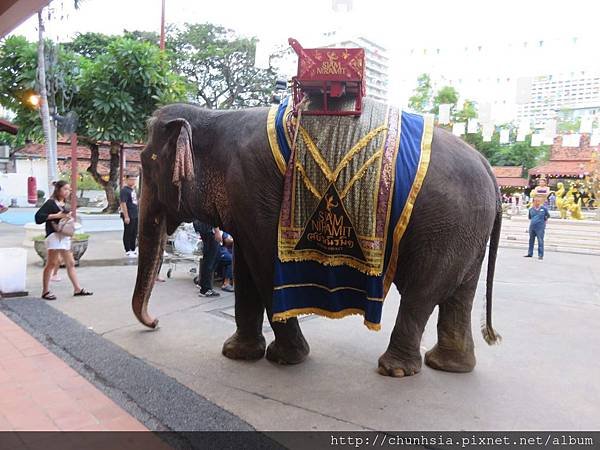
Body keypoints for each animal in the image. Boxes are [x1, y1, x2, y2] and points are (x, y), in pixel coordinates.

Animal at [132, 103, 502, 378]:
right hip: (465, 232)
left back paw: (395, 370)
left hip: (445, 228)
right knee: (458, 294)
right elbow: (246, 268)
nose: (155, 323)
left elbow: (264, 267)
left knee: (421, 293)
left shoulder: (255, 191)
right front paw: (236, 353)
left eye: (149, 163)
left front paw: (286, 358)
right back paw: (448, 365)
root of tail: (488, 168)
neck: (214, 117)